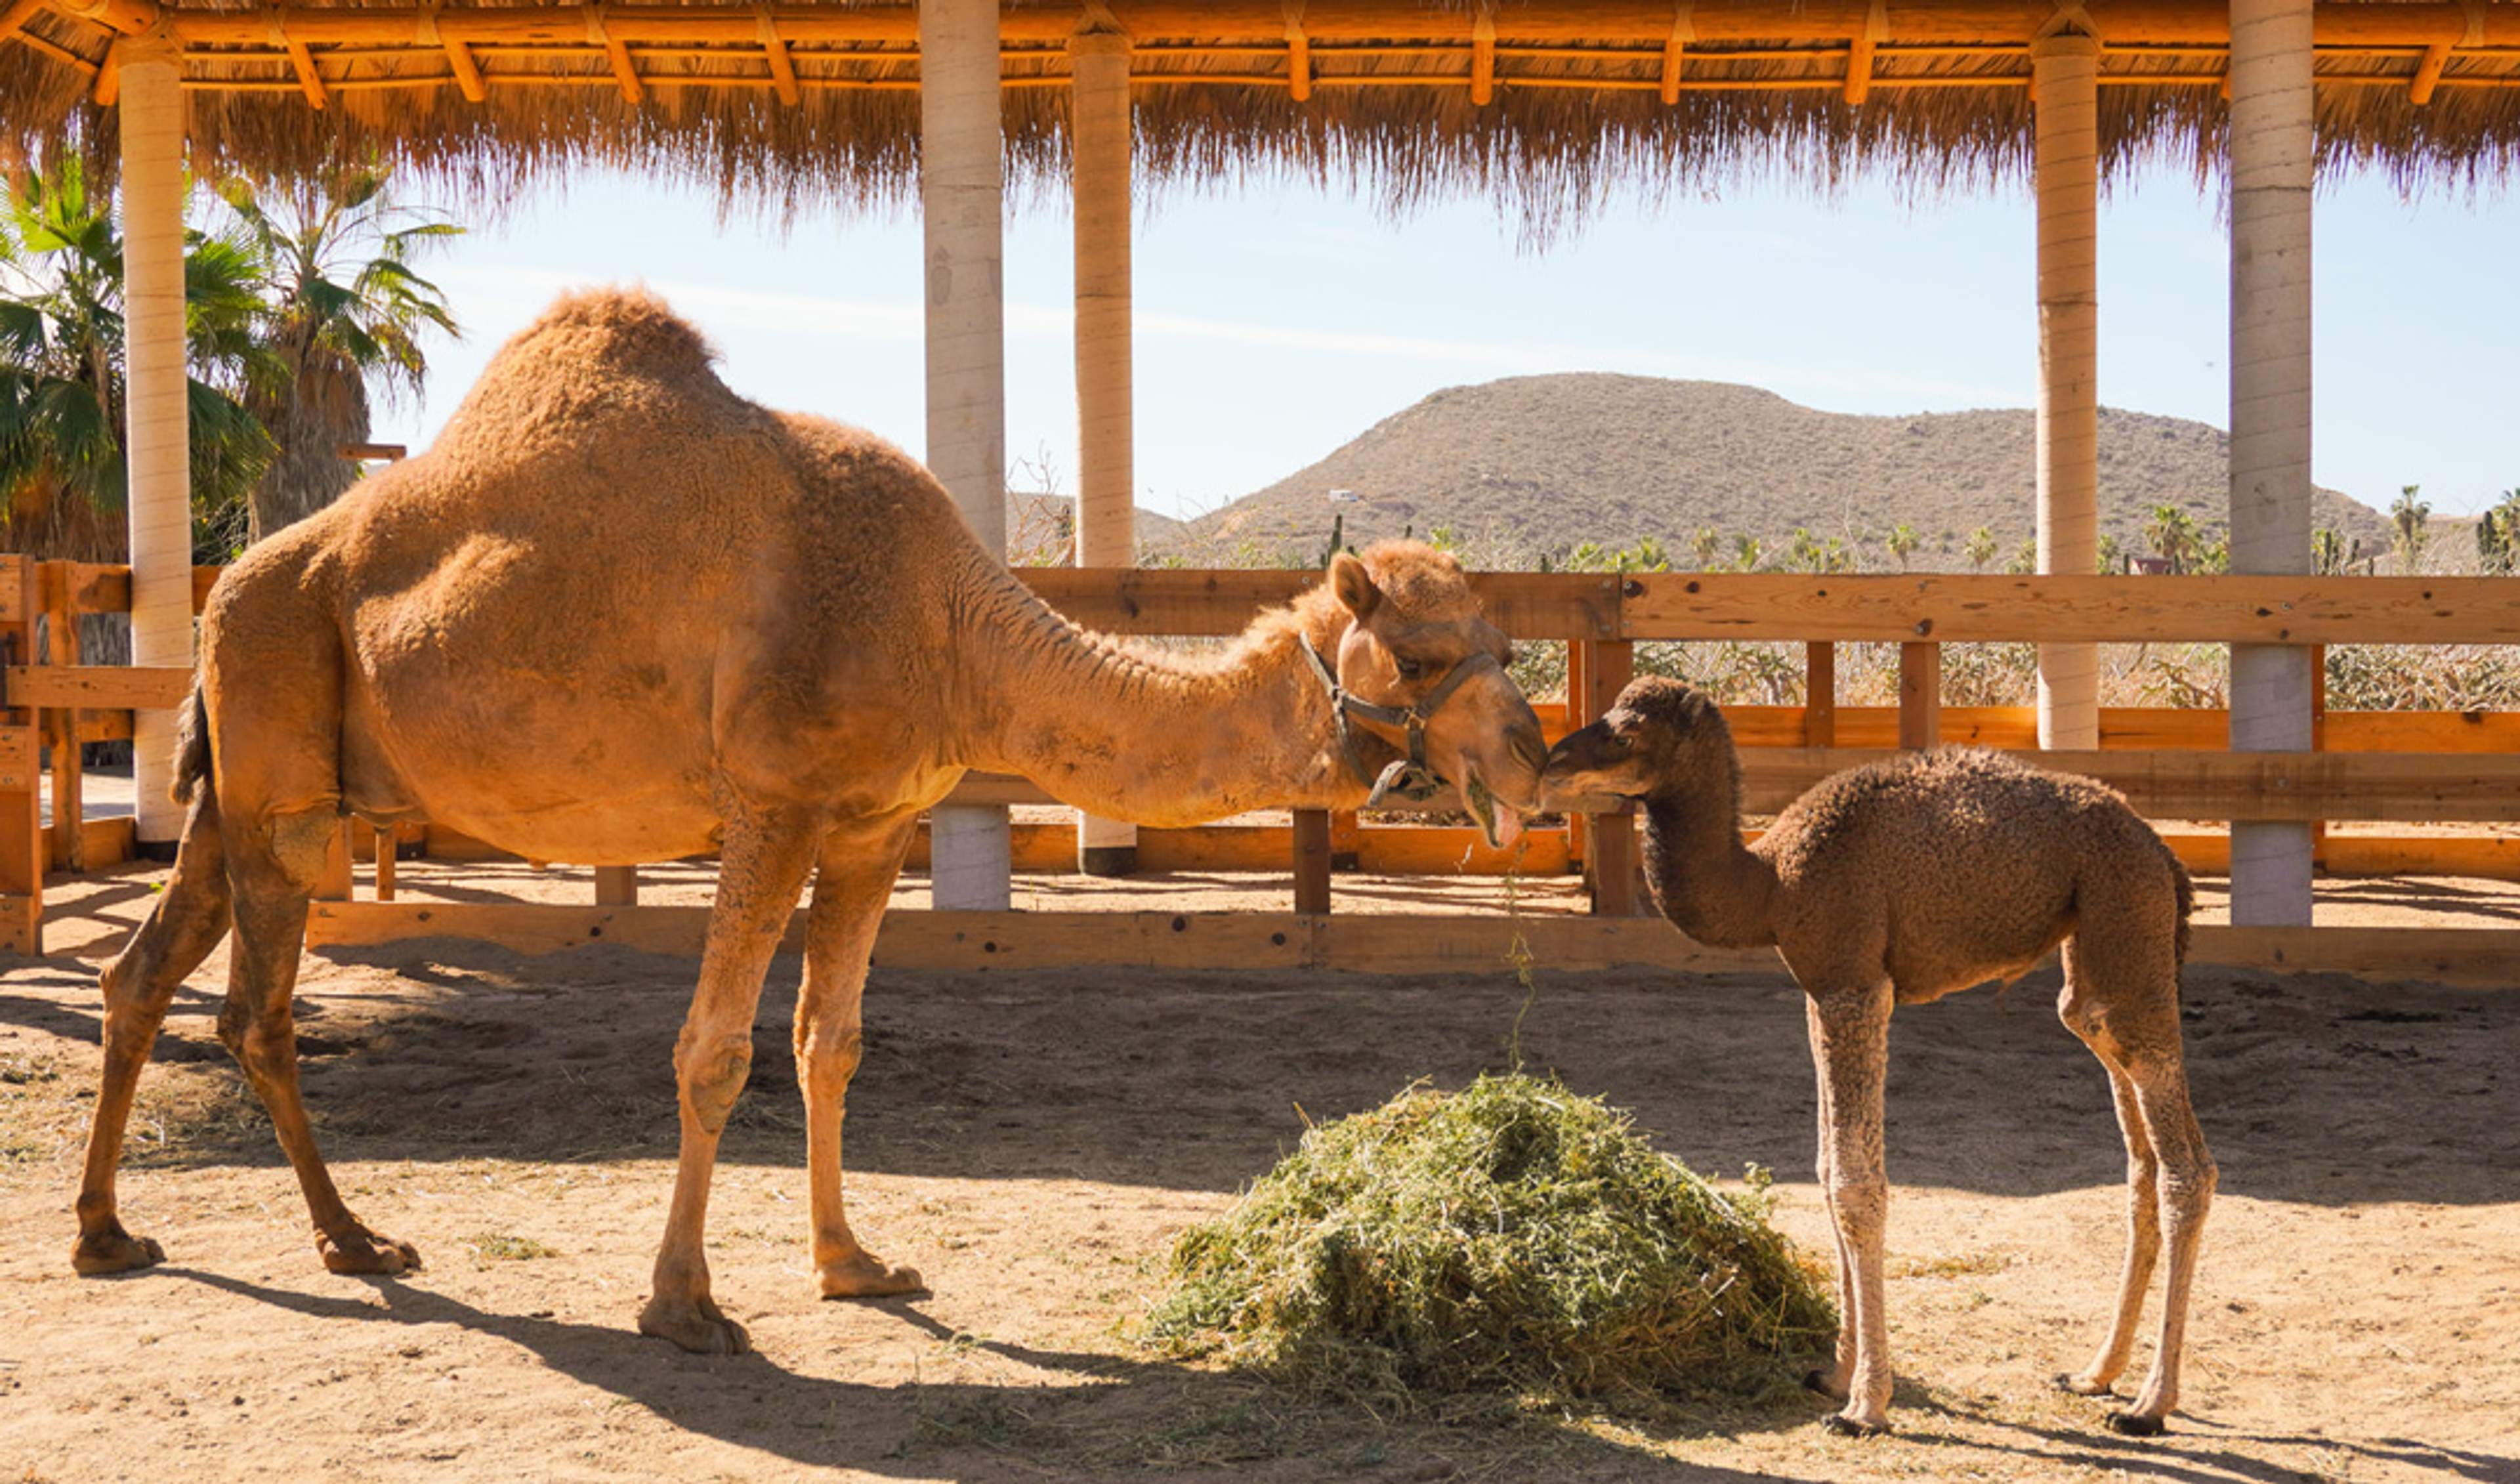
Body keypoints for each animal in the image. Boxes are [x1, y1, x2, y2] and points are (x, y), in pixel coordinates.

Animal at [71, 288, 1548, 1356]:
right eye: (1425, 653)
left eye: (1499, 631)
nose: (1532, 759)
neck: (947, 619)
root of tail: (228, 584)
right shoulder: (771, 806)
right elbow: (715, 1049)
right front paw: (684, 1303)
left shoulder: (872, 823)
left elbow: (827, 1042)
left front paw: (854, 1264)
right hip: (282, 761)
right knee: (255, 1009)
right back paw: (354, 1239)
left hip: (240, 783)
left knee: (140, 971)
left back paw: (115, 1233)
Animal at [1540, 676, 2215, 1438]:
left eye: (1627, 731)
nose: (1552, 763)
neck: (1772, 882)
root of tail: (2164, 855)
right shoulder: (1820, 990)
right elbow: (1825, 1168)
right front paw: (1834, 1372)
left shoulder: (1854, 985)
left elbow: (1856, 1185)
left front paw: (1865, 1404)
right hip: (2098, 966)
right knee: (2136, 1146)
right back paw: (2096, 1372)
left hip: (2126, 919)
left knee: (2186, 1169)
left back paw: (2150, 1403)